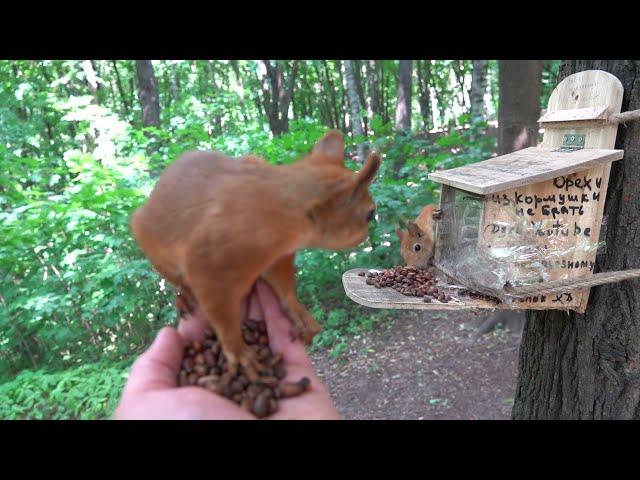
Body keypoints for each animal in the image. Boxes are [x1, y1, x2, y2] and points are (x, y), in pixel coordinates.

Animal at [130, 129, 380, 380]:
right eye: (369, 214)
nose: (367, 233)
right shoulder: (209, 262)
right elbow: (220, 313)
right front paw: (239, 352)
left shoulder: (277, 257)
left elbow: (284, 287)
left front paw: (300, 315)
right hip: (159, 256)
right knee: (179, 282)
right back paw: (183, 296)